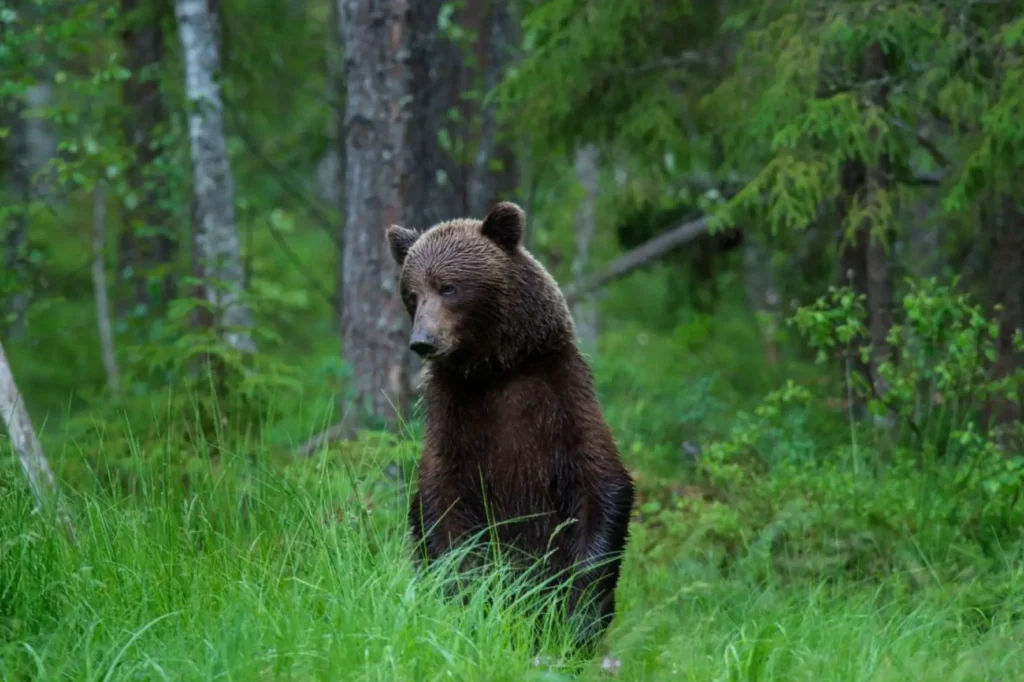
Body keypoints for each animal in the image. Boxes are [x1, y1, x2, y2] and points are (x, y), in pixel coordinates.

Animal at [385, 201, 636, 657]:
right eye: (412, 293)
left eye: (449, 287)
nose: (423, 340)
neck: (495, 369)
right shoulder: (453, 418)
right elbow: (441, 506)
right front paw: (470, 599)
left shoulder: (562, 400)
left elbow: (600, 486)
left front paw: (577, 613)